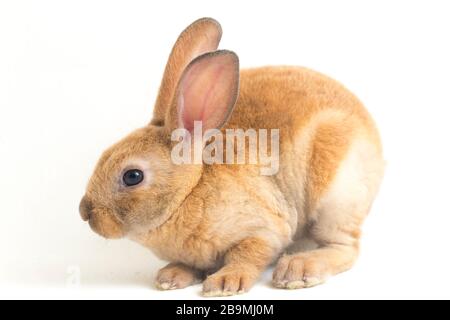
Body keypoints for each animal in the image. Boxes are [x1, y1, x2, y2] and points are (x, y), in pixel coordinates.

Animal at [80, 18, 384, 298]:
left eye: (132, 176)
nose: (85, 212)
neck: (188, 193)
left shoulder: (264, 230)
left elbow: (249, 255)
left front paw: (225, 283)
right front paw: (171, 277)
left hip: (338, 196)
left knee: (344, 247)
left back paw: (297, 270)